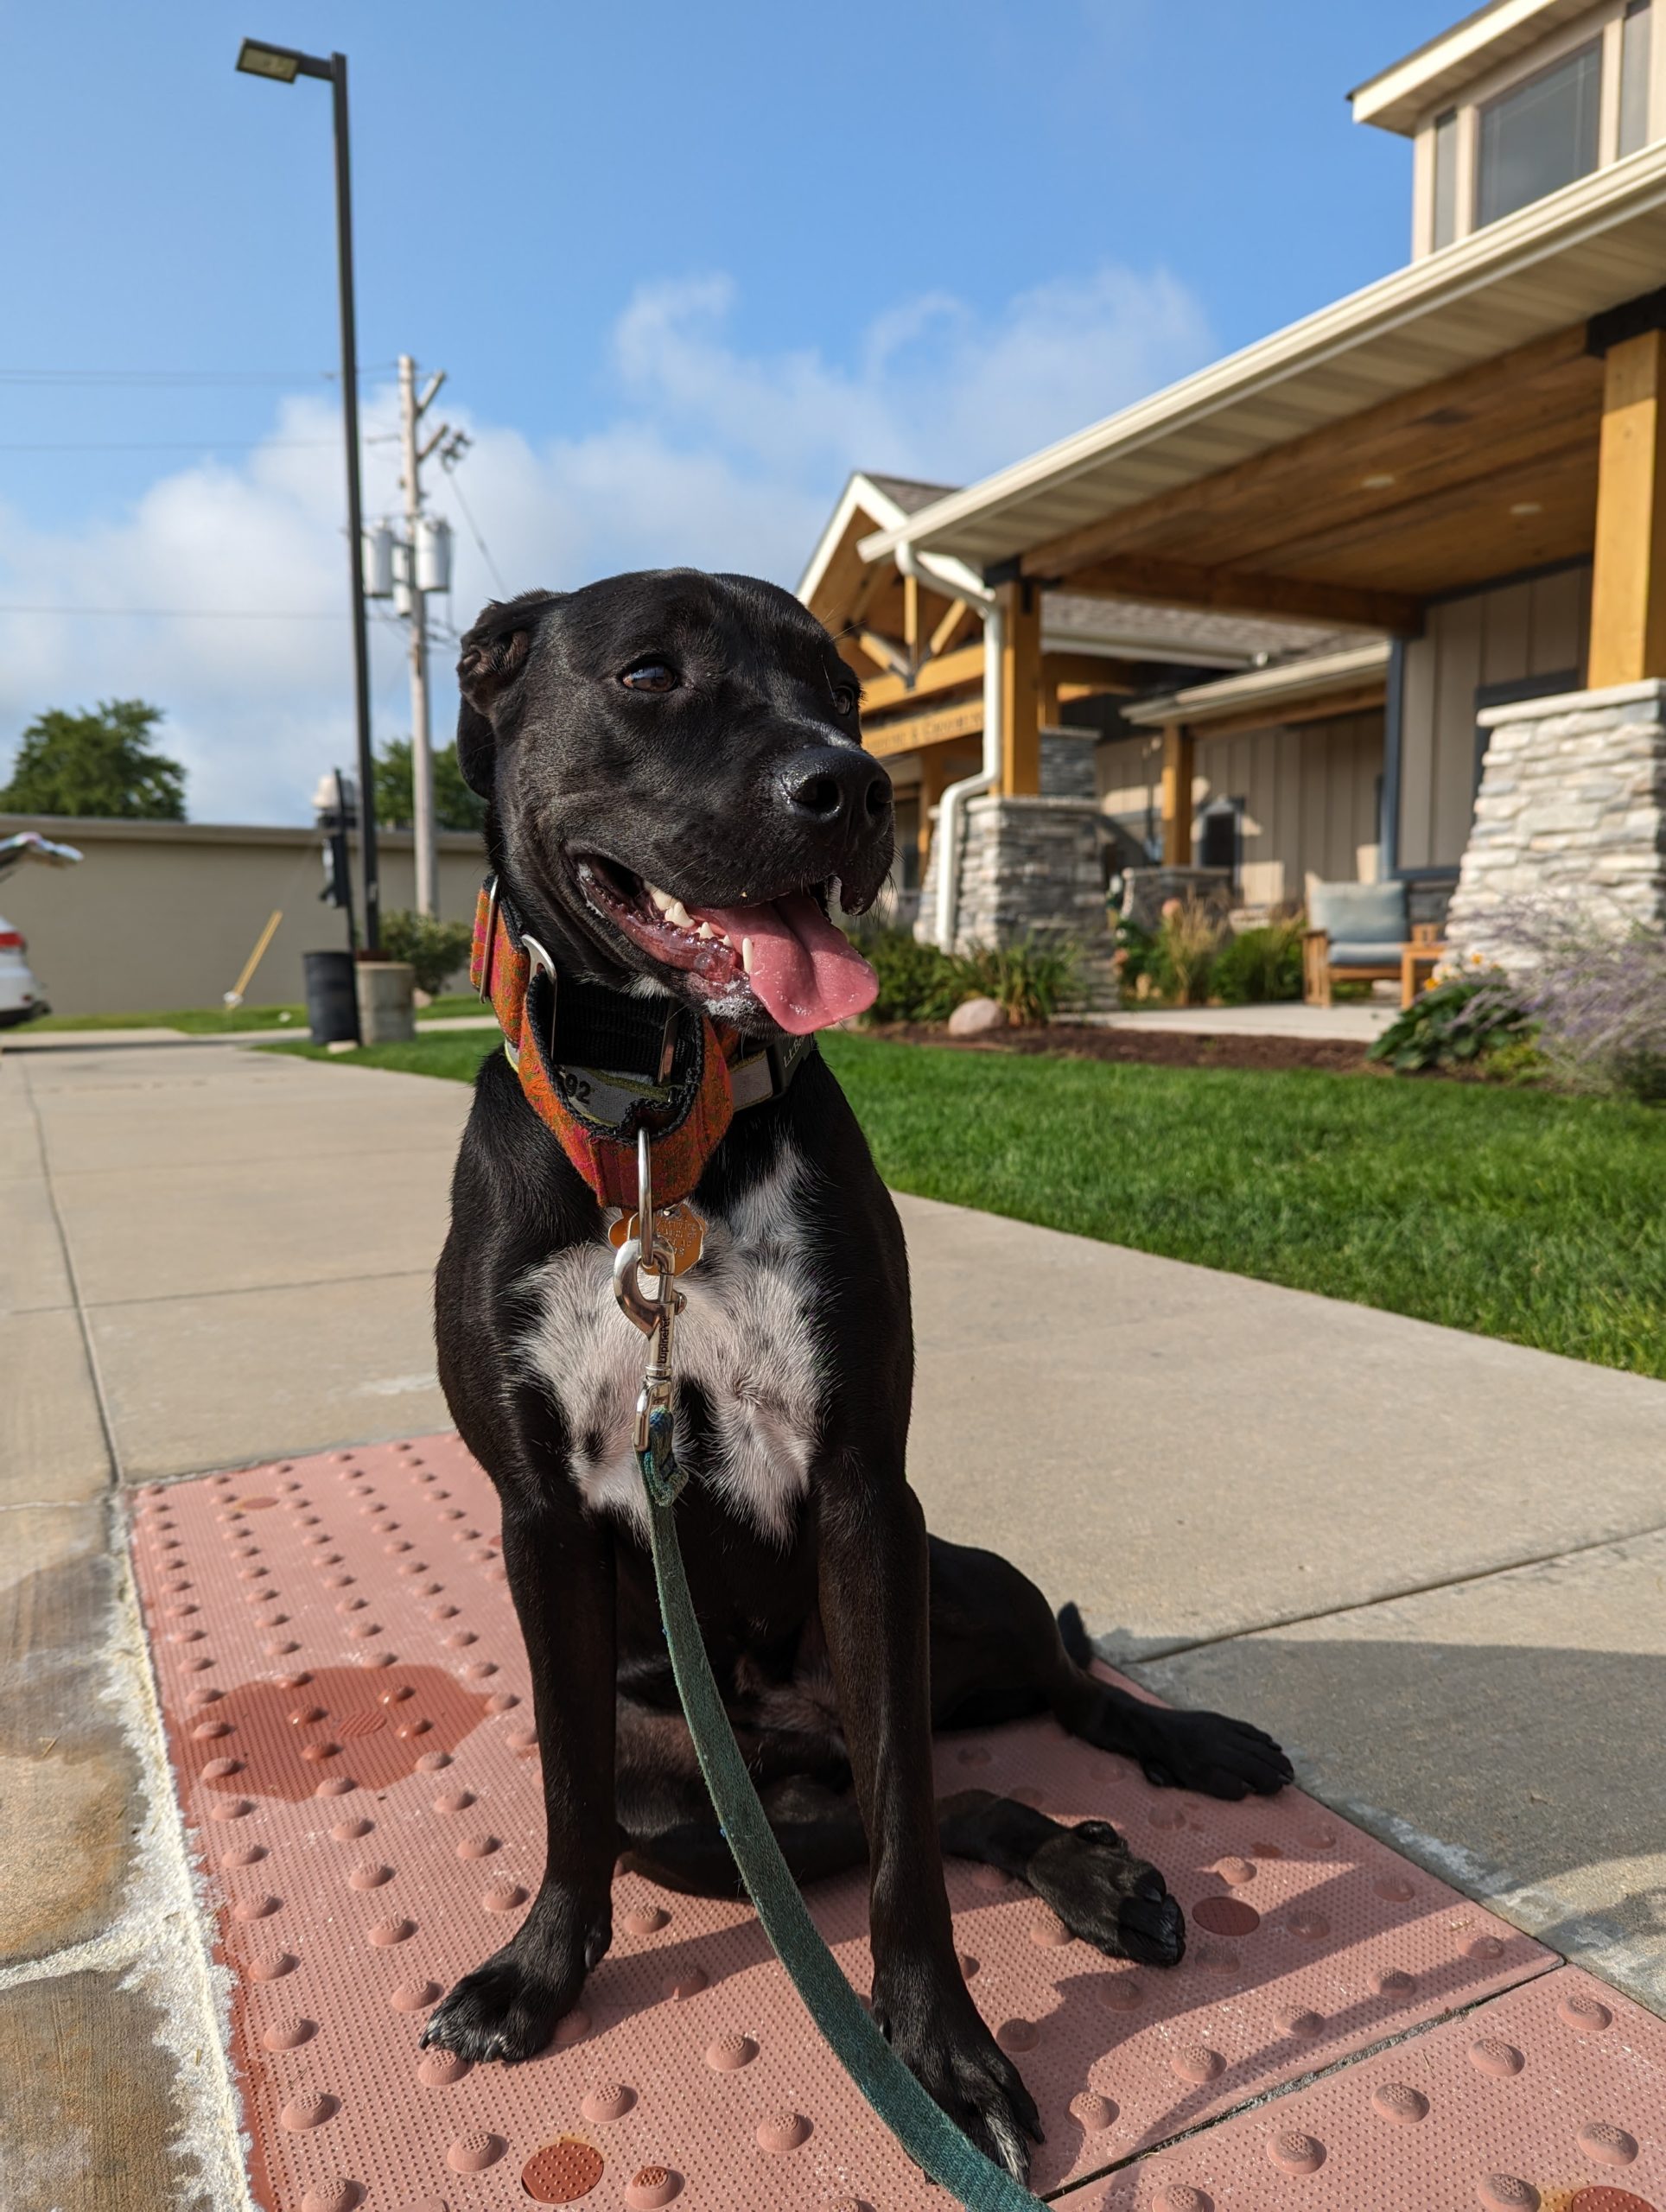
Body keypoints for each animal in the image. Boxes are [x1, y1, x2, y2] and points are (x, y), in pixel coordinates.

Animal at [424, 570, 1283, 2177]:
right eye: (649, 673)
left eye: (843, 688)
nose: (854, 787)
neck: (666, 1124)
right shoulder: (540, 1524)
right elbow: (571, 1792)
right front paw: (536, 1975)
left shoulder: (866, 1496)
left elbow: (905, 1848)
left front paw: (938, 2054)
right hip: (697, 1819)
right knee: (947, 1797)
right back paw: (1086, 1873)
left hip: (964, 1587)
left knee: (1029, 1706)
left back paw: (1177, 1755)